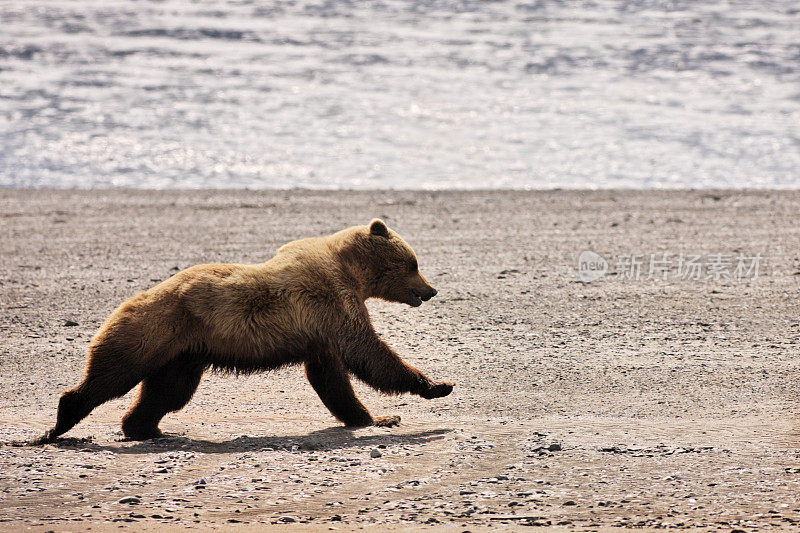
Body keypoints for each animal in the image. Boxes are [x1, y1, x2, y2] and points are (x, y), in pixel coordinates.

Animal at [34, 218, 454, 442]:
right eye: (413, 263)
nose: (431, 290)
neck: (351, 272)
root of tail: (125, 302)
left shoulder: (320, 329)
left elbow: (332, 377)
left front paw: (375, 417)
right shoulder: (329, 300)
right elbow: (367, 353)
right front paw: (436, 385)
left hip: (182, 354)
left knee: (167, 392)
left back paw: (148, 428)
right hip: (151, 330)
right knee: (113, 374)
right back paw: (62, 421)